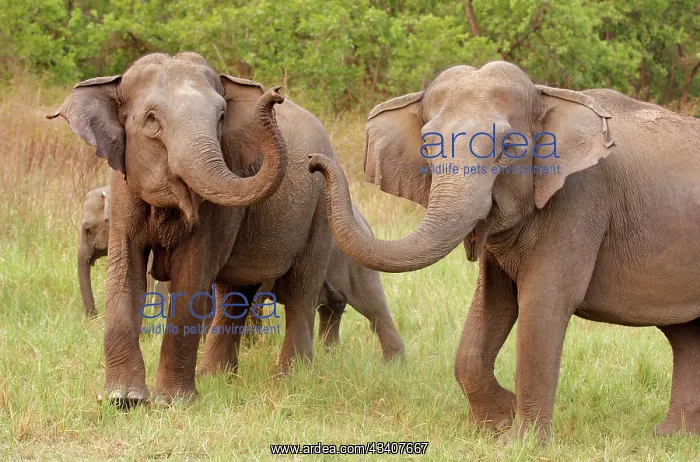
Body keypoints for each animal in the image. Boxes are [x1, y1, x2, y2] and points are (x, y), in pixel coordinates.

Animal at [199, 204, 405, 375]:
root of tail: (364, 223)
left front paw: (250, 347)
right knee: (333, 309)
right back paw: (331, 354)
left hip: (356, 267)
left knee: (374, 308)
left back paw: (393, 366)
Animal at [308, 61, 700, 441]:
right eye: (427, 146)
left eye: (509, 147)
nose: (313, 161)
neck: (547, 94)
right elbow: (492, 303)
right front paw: (495, 423)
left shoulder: (580, 200)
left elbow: (542, 303)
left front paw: (520, 441)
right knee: (684, 335)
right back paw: (669, 438)